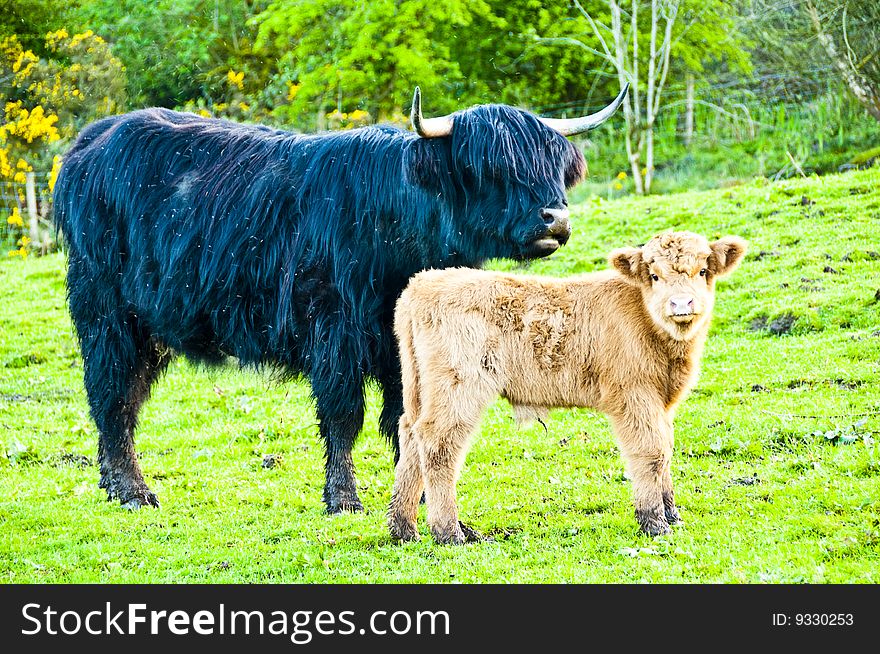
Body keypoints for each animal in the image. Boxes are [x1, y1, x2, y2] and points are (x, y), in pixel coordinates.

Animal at [53, 86, 624, 512]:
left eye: (555, 166)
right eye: (491, 168)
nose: (555, 219)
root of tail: (90, 144)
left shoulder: (403, 349)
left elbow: (403, 418)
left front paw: (415, 497)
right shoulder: (334, 332)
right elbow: (344, 416)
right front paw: (344, 499)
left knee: (120, 398)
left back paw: (113, 487)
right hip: (108, 315)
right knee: (112, 396)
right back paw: (132, 491)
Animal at [388, 231, 744, 544]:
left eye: (703, 271)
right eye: (655, 276)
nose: (681, 304)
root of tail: (424, 283)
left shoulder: (662, 402)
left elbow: (666, 450)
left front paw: (673, 516)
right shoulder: (634, 395)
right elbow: (651, 453)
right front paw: (654, 523)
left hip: (418, 389)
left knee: (409, 435)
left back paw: (403, 529)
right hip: (458, 387)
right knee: (438, 443)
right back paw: (449, 533)